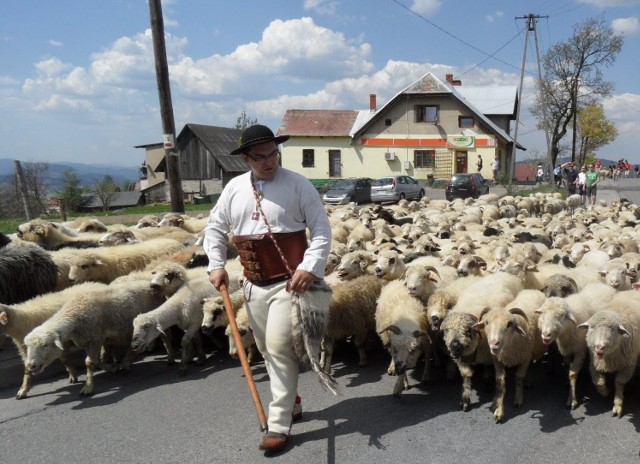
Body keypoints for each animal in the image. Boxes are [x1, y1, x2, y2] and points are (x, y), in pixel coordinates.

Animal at [536, 282, 616, 410]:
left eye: (561, 315)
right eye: (542, 314)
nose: (546, 334)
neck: (567, 330)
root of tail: (604, 285)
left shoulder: (580, 351)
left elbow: (573, 374)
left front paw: (572, 399)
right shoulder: (566, 350)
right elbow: (567, 367)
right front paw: (568, 383)